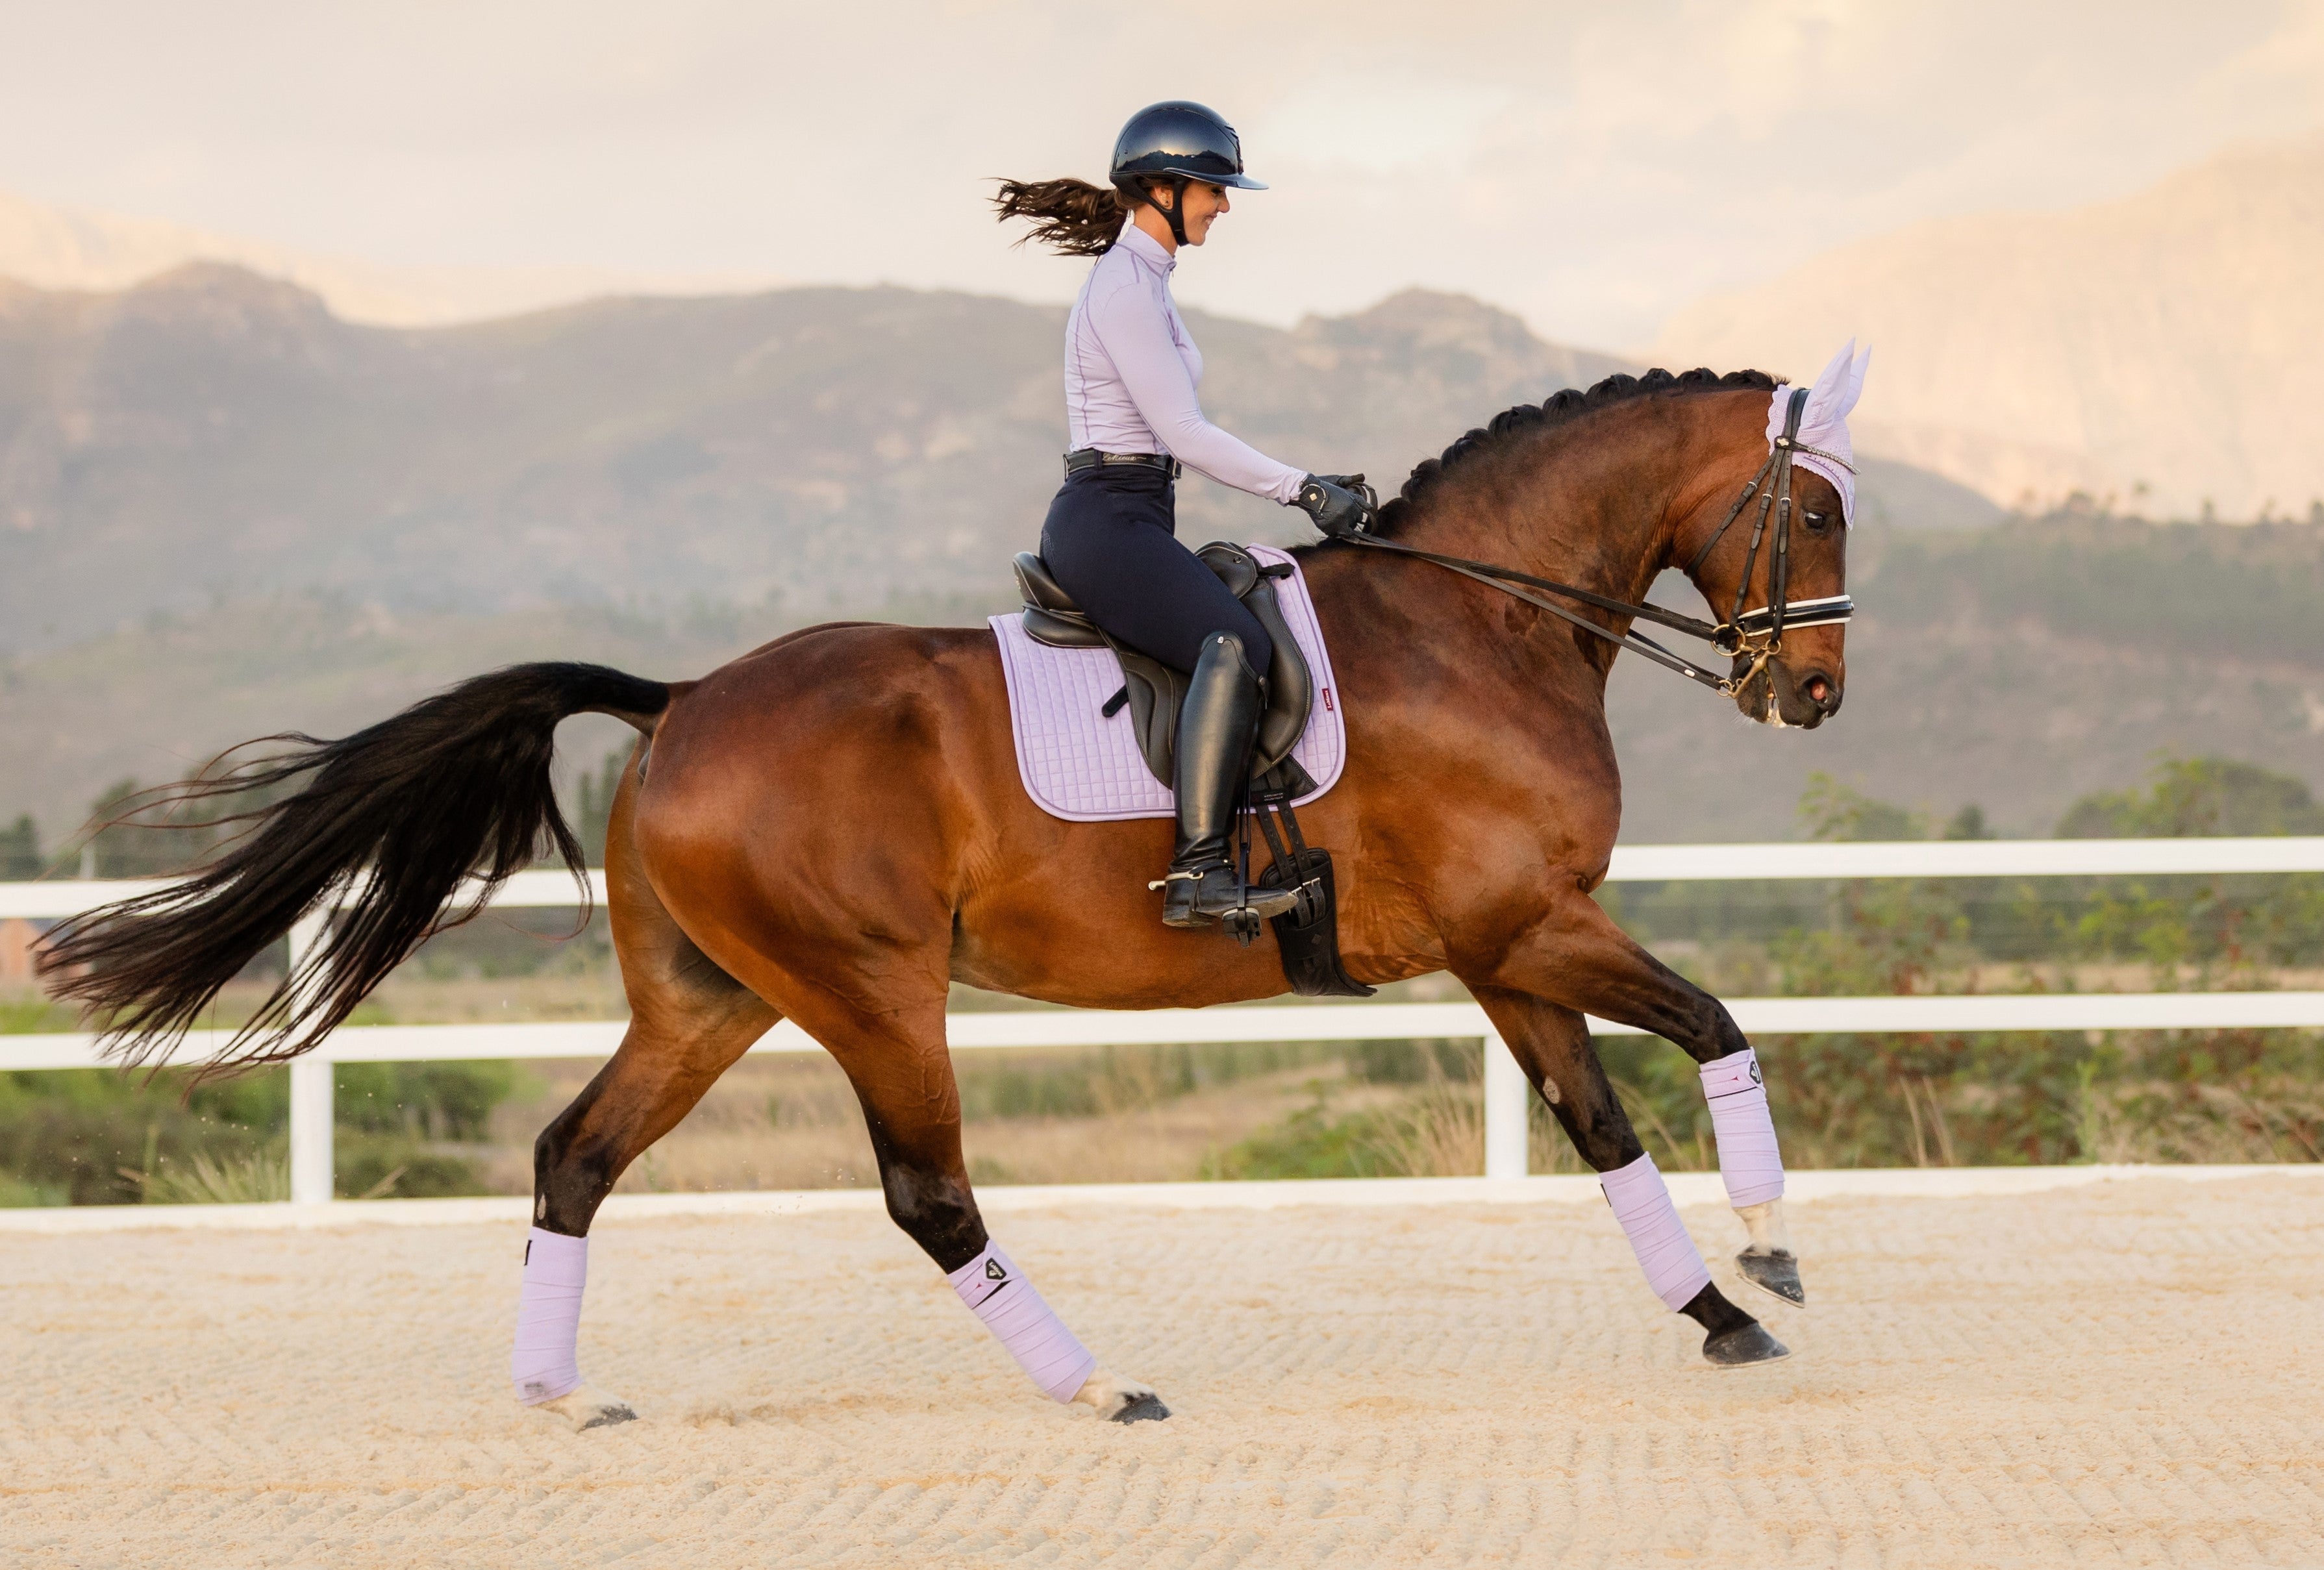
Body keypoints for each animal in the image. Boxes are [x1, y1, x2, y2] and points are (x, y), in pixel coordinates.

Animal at [43, 361, 1857, 1430]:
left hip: (712, 997)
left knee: (576, 1157)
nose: (1813, 693)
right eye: (1819, 505)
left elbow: (1598, 1126)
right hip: (868, 991)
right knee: (928, 1197)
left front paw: (1717, 1310)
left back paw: (560, 1395)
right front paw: (1773, 1257)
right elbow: (1715, 1026)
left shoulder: (1501, 950)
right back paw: (1099, 1385)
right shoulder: (1522, 926)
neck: (1476, 624)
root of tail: (678, 701)